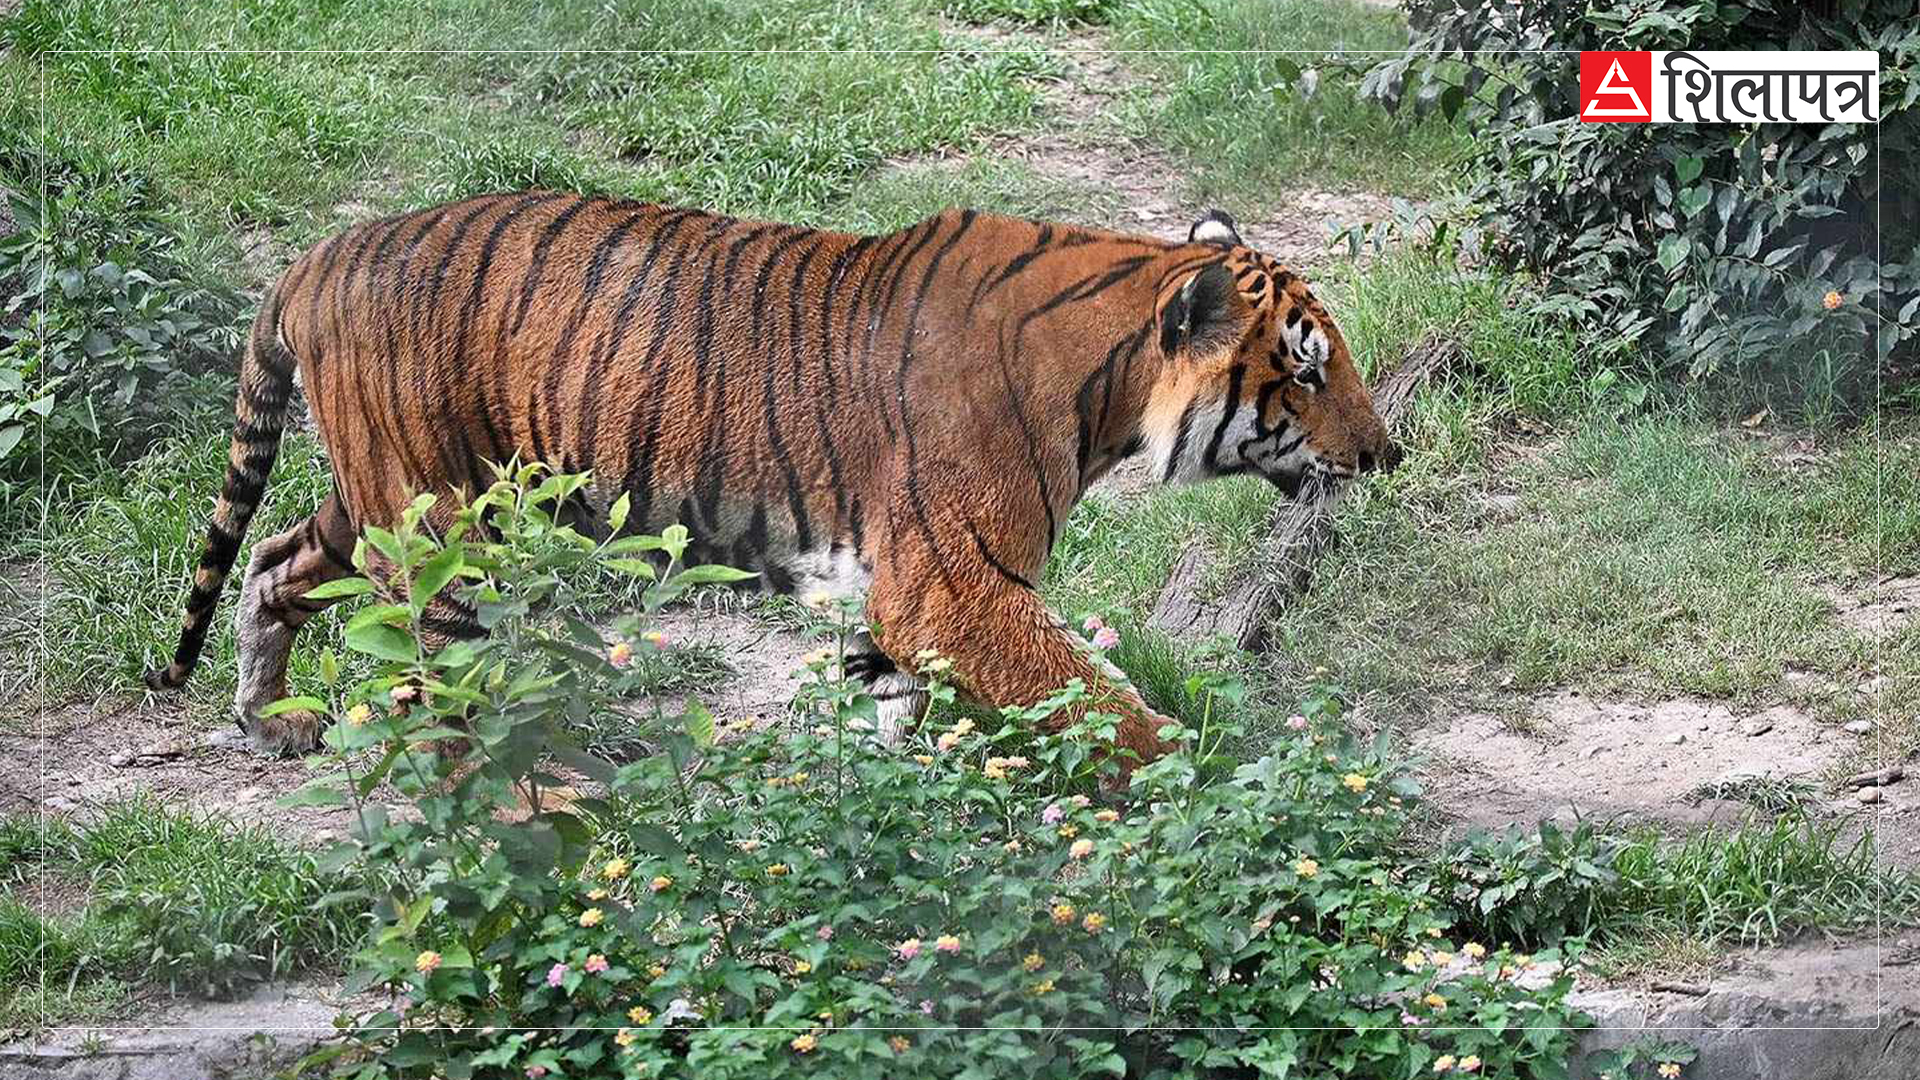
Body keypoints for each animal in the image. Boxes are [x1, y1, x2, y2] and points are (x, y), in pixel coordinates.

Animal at [145, 193, 1397, 764]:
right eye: (1305, 367)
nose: (1387, 453)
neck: (1110, 393)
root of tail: (320, 253)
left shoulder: (900, 599)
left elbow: (903, 719)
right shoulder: (956, 585)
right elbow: (1105, 702)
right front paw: (1207, 794)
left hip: (380, 502)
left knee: (272, 561)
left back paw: (270, 722)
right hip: (441, 531)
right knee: (434, 692)